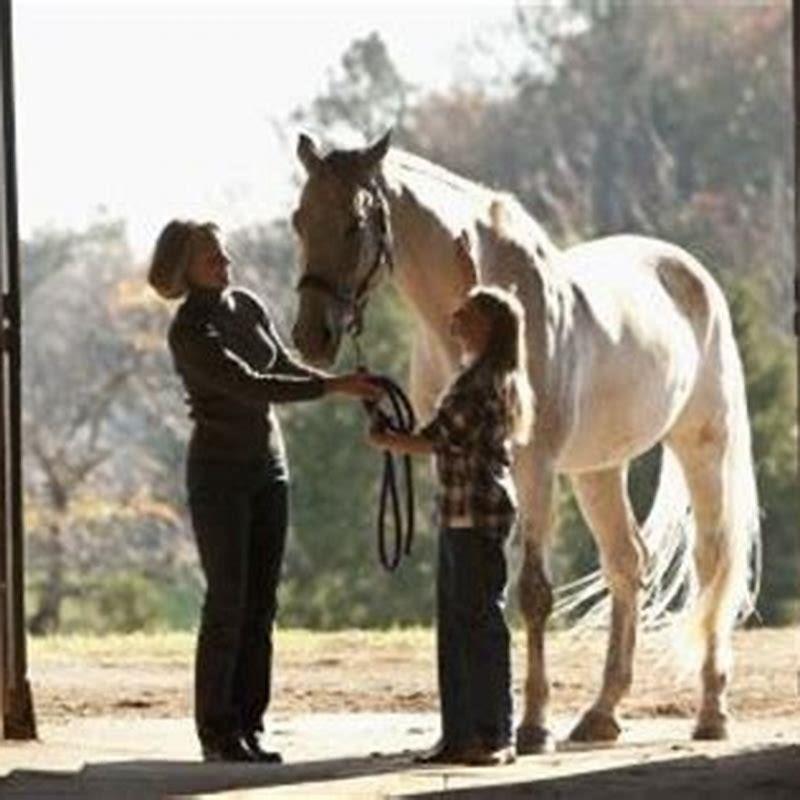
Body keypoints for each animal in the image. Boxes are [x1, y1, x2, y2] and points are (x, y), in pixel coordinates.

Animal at [288, 131, 756, 752]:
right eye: (299, 220)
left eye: (354, 223)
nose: (310, 337)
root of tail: (692, 274)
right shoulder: (445, 454)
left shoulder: (534, 464)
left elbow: (534, 592)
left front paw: (533, 726)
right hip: (597, 469)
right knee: (627, 562)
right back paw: (602, 714)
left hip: (702, 444)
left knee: (711, 563)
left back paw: (711, 712)